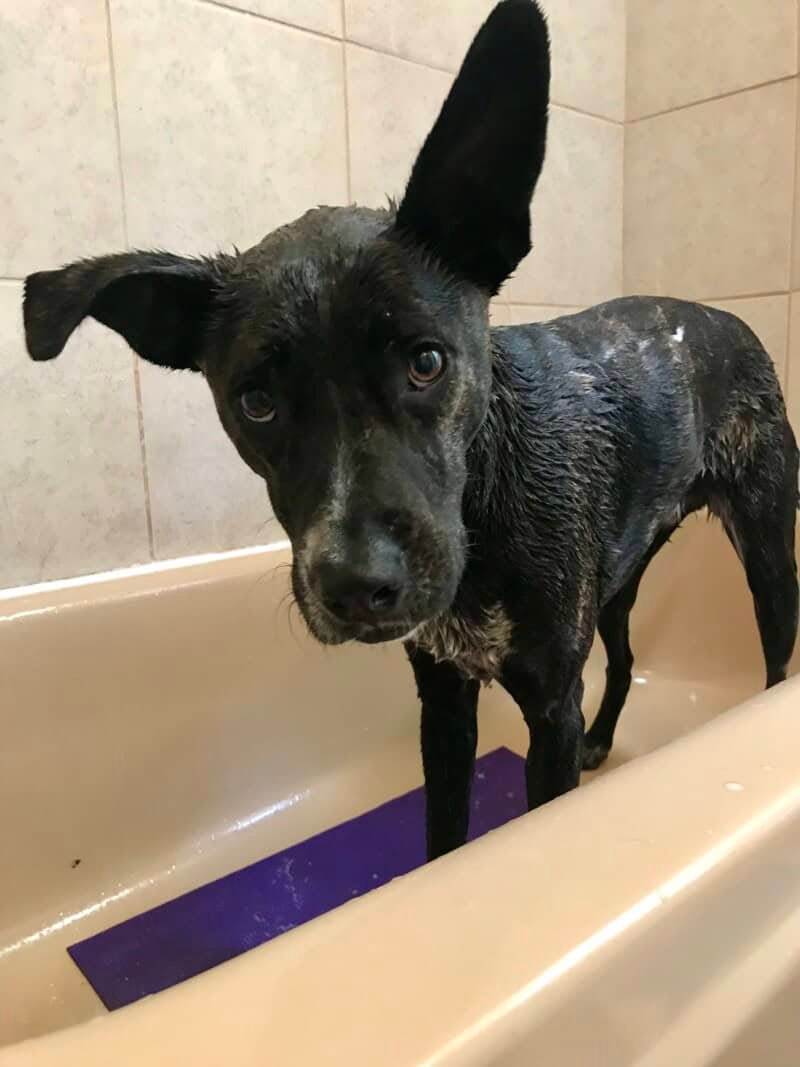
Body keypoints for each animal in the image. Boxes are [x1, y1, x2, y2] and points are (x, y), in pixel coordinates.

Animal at [21, 0, 797, 862]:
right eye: (255, 401)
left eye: (426, 360)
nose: (358, 585)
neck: (486, 496)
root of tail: (729, 320)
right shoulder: (444, 701)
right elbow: (444, 836)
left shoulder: (547, 710)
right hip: (620, 581)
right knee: (625, 658)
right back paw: (605, 738)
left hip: (768, 555)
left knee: (771, 656)